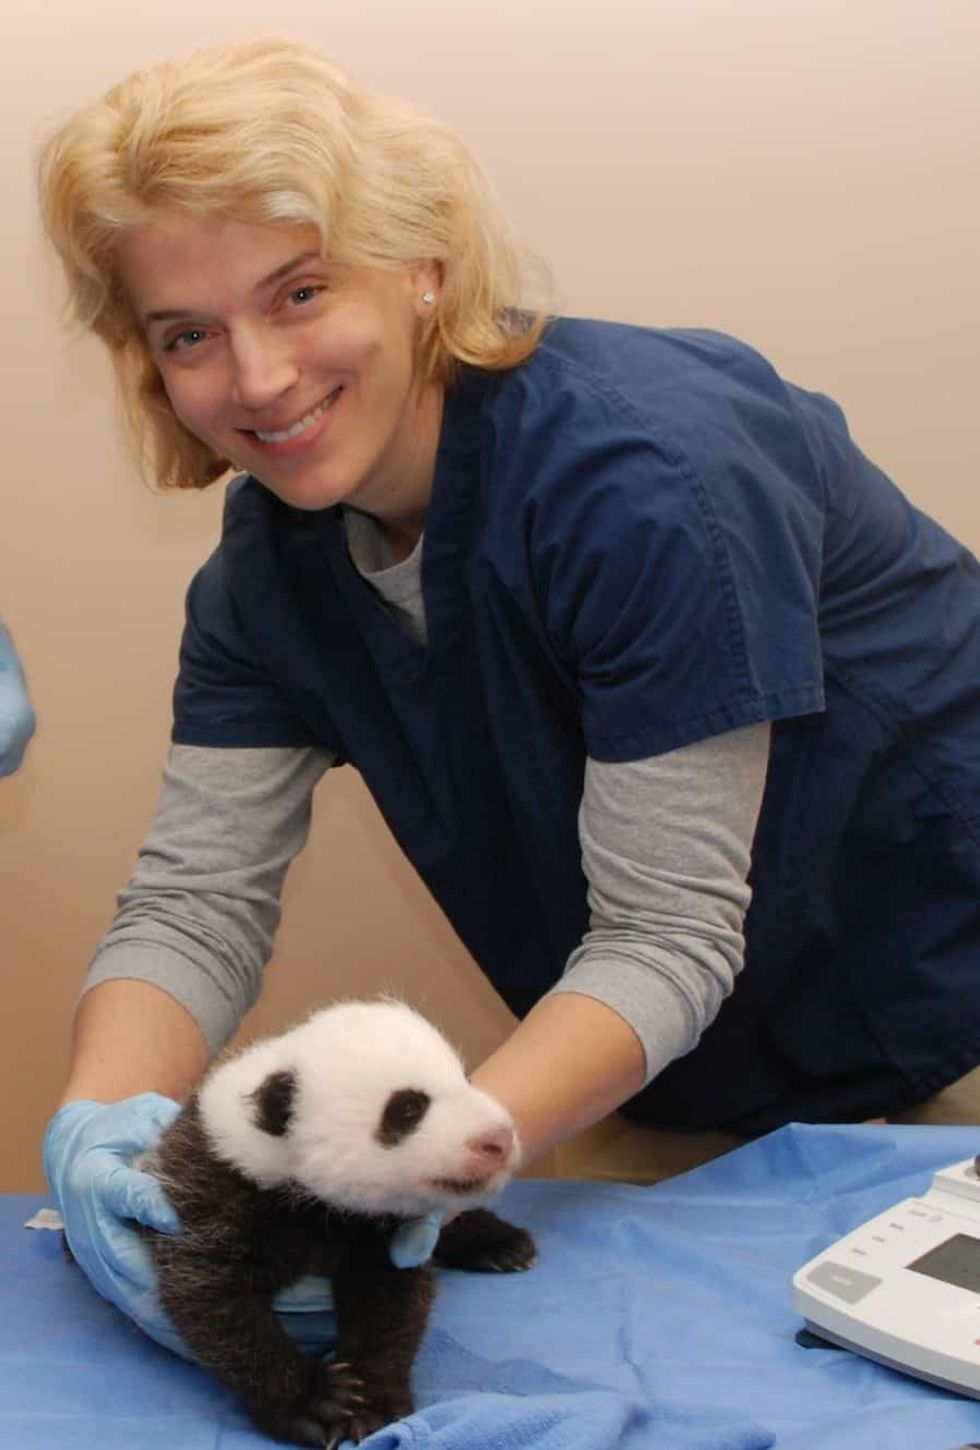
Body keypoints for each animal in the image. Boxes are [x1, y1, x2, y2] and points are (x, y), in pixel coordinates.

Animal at [144, 999, 535, 1448]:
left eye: (467, 1080)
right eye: (408, 1108)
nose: (498, 1140)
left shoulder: (386, 1231)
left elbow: (389, 1305)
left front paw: (373, 1402)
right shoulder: (213, 1193)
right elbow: (214, 1301)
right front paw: (315, 1401)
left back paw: (503, 1243)